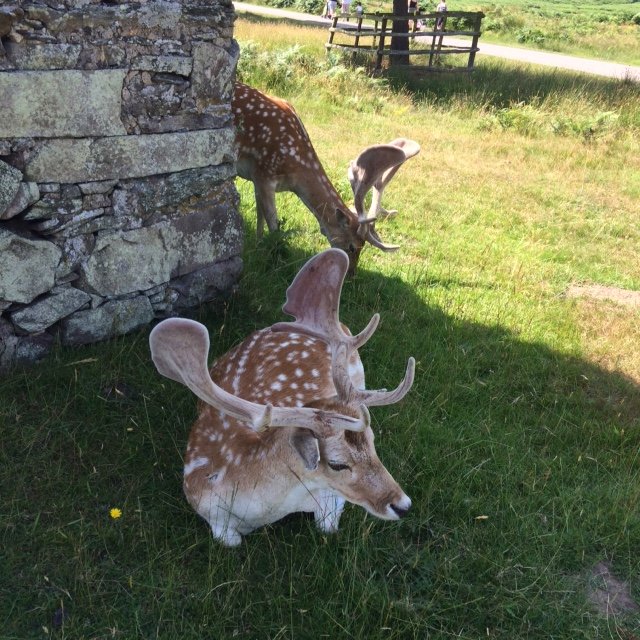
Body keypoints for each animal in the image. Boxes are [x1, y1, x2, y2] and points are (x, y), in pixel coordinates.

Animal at [149, 248, 415, 547]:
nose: (403, 505)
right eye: (337, 464)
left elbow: (327, 526)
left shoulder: (330, 497)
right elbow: (232, 541)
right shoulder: (206, 508)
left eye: (372, 442)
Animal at [232, 81, 421, 274]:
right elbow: (272, 222)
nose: (351, 273)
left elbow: (259, 214)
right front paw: (274, 257)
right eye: (352, 246)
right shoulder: (265, 173)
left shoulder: (257, 177)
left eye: (363, 247)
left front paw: (258, 245)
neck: (295, 171)